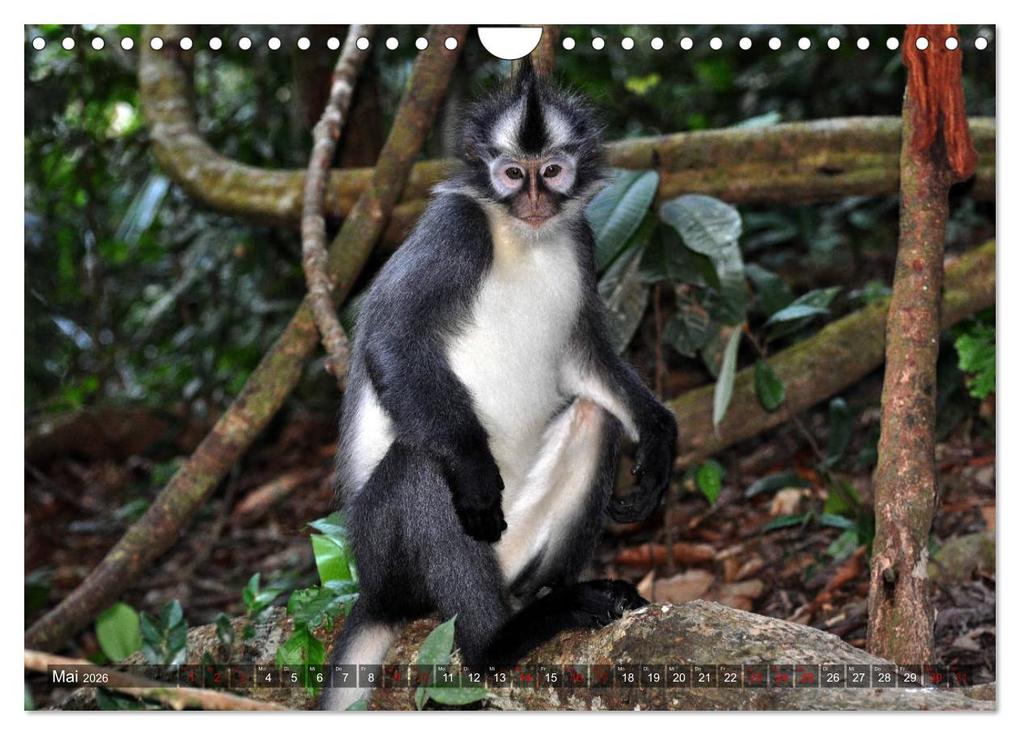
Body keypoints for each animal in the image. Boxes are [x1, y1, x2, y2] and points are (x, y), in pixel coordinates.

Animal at [319, 61, 678, 711]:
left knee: (594, 415)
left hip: (516, 548)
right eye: (512, 174)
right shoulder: (456, 232)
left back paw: (556, 596)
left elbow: (584, 358)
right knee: (420, 464)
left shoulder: (582, 240)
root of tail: (372, 594)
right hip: (387, 557)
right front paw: (476, 469)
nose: (534, 198)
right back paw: (498, 640)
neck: (521, 237)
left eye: (551, 171)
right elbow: (393, 340)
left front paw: (658, 438)